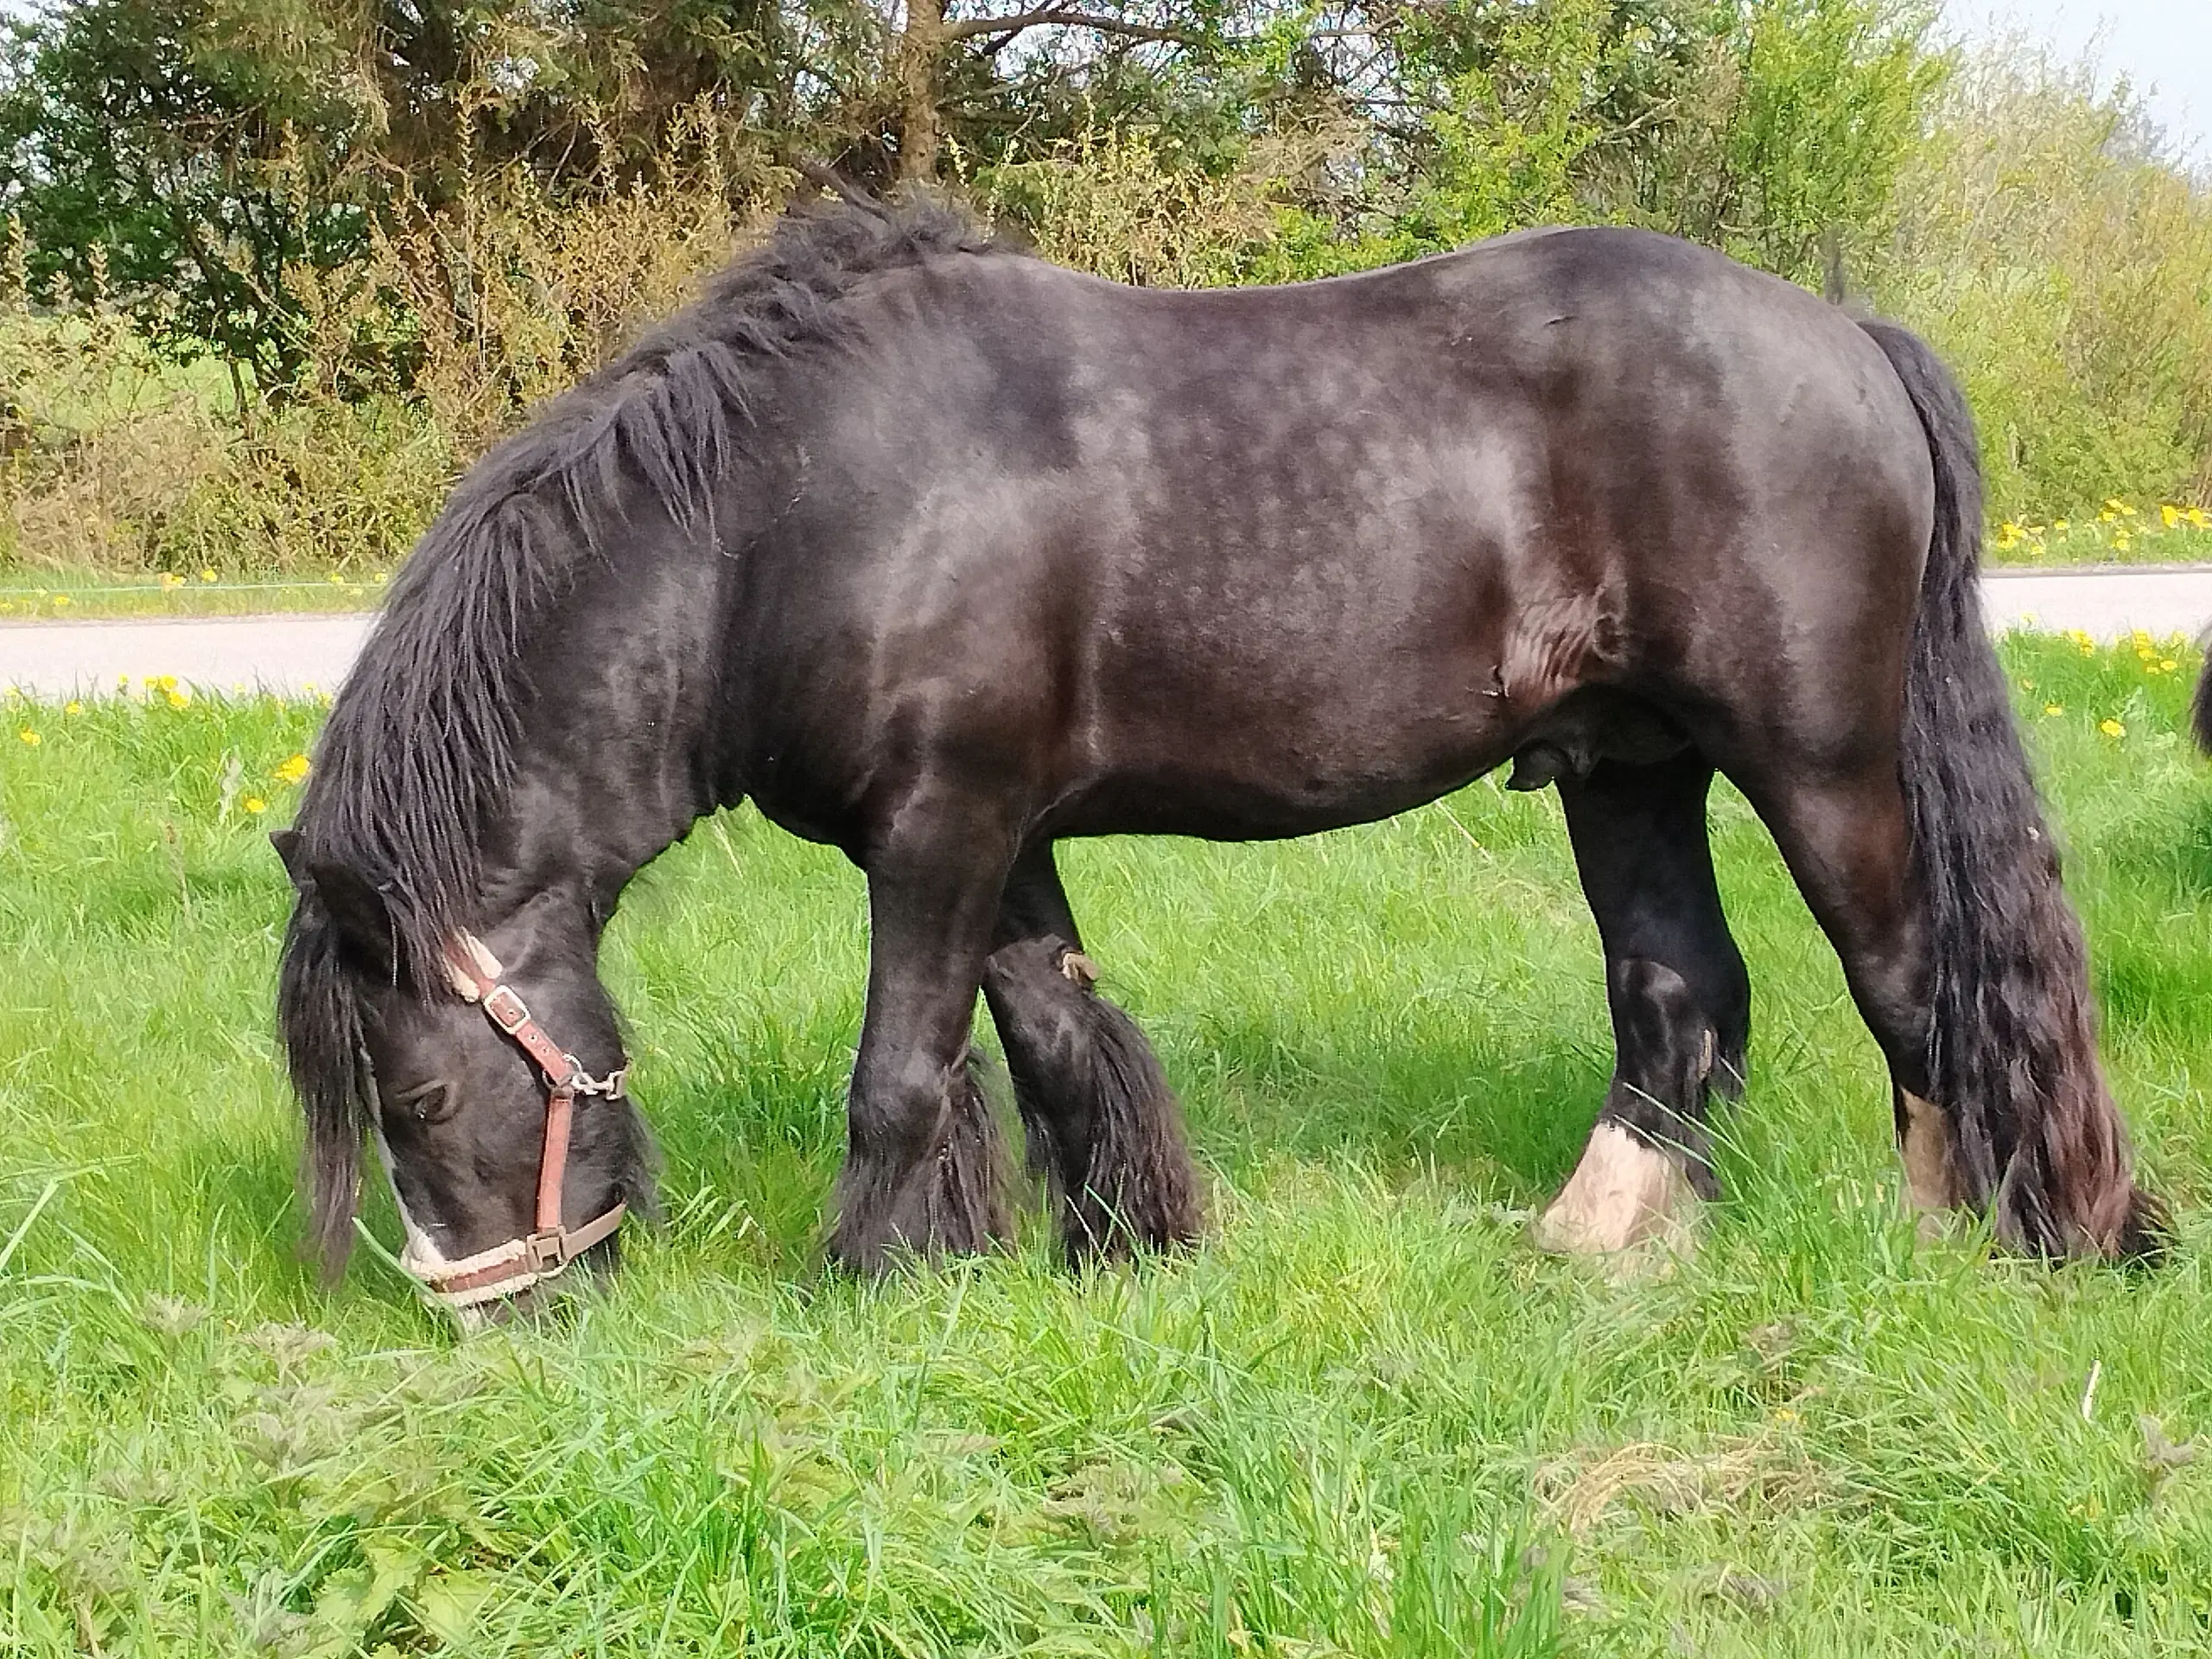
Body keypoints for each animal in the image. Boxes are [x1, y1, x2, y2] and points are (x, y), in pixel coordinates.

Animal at [276, 191, 2158, 1309]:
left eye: (417, 1094)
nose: (502, 1312)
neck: (780, 522)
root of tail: (1849, 336)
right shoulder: (996, 831)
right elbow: (1050, 1034)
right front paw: (1109, 1255)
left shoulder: (940, 827)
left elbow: (903, 1072)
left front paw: (867, 1286)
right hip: (1627, 766)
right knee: (1682, 991)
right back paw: (1599, 1241)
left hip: (1818, 762)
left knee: (1916, 981)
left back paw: (1983, 1246)